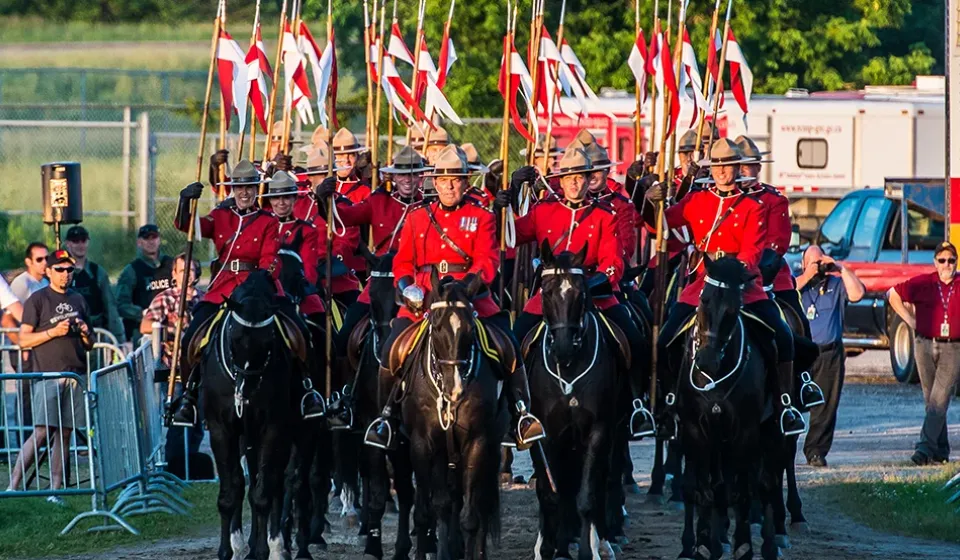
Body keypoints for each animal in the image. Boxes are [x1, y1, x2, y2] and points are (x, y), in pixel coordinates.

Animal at [198, 272, 296, 560]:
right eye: (234, 337)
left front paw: (262, 549)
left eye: (269, 341)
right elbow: (230, 493)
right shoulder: (221, 430)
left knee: (274, 483)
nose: (247, 392)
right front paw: (227, 549)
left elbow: (263, 493)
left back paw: (275, 546)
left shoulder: (272, 429)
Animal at [404, 274, 510, 560]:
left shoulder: (478, 443)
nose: (455, 389)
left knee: (481, 503)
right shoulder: (424, 444)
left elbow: (470, 516)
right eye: (437, 327)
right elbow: (433, 508)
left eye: (470, 330)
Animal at [524, 247, 632, 560]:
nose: (562, 347)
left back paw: (605, 538)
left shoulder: (598, 430)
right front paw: (552, 548)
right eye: (546, 292)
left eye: (580, 293)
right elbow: (552, 492)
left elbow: (586, 494)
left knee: (604, 478)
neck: (570, 369)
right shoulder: (547, 432)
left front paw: (588, 548)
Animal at [676, 258, 780, 560]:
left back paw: (770, 544)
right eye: (704, 301)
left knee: (767, 484)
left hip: (770, 430)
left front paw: (743, 545)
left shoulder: (745, 432)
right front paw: (701, 545)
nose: (706, 361)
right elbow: (704, 490)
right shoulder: (696, 430)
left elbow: (743, 492)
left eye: (734, 309)